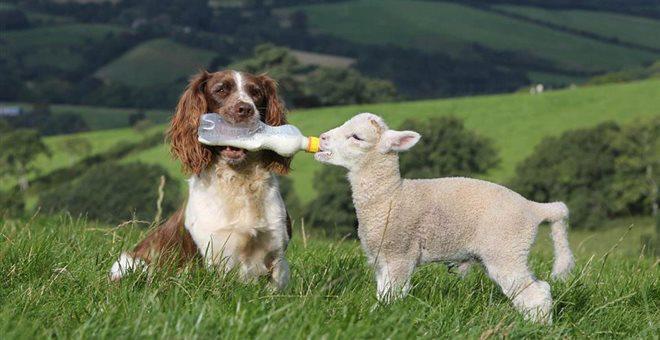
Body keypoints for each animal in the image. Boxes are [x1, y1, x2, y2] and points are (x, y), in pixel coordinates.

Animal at [109, 69, 292, 290]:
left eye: (256, 92)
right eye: (221, 90)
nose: (245, 109)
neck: (238, 180)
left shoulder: (277, 252)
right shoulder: (215, 256)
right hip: (134, 264)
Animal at [314, 113, 572, 322]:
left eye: (357, 137)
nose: (322, 138)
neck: (390, 196)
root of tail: (534, 208)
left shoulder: (399, 253)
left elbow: (391, 296)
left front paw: (381, 318)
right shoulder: (381, 258)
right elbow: (383, 292)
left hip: (506, 249)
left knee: (535, 294)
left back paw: (538, 328)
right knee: (538, 290)